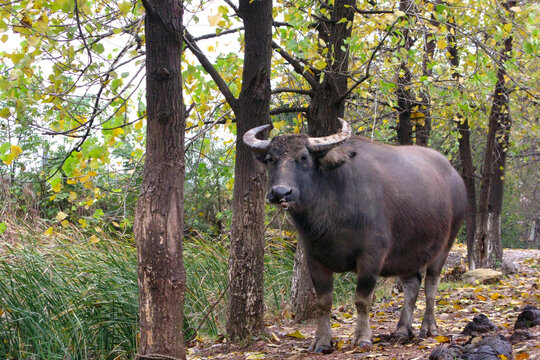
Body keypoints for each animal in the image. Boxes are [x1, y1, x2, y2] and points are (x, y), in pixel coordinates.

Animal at [245, 118, 468, 352]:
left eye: (304, 157)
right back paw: (401, 331)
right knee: (412, 283)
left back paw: (428, 327)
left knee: (431, 283)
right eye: (270, 159)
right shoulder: (314, 258)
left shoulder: (371, 256)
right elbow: (323, 302)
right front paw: (322, 341)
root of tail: (456, 179)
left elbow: (362, 299)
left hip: (445, 244)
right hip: (407, 252)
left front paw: (362, 337)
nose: (280, 192)